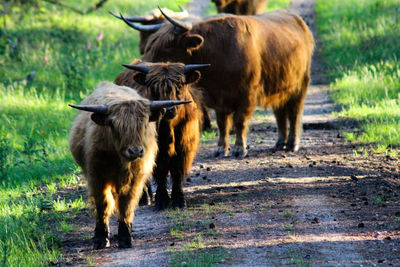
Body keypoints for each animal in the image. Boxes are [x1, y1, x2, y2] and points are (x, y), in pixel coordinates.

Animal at [69, 82, 191, 250]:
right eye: (115, 125)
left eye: (144, 124)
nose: (135, 151)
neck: (120, 160)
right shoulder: (96, 177)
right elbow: (103, 204)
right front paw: (100, 238)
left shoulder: (134, 180)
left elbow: (126, 204)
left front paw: (125, 236)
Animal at [115, 61, 206, 210]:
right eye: (153, 88)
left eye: (179, 85)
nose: (168, 109)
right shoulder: (157, 151)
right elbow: (160, 172)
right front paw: (162, 200)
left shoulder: (185, 148)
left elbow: (177, 171)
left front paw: (179, 200)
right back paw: (143, 198)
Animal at [137, 9, 312, 158]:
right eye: (150, 43)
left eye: (167, 46)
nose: (143, 66)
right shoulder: (219, 98)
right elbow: (222, 124)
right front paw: (221, 149)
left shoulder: (247, 95)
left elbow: (240, 121)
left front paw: (239, 149)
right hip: (280, 87)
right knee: (280, 113)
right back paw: (280, 142)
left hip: (300, 85)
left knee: (294, 113)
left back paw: (292, 144)